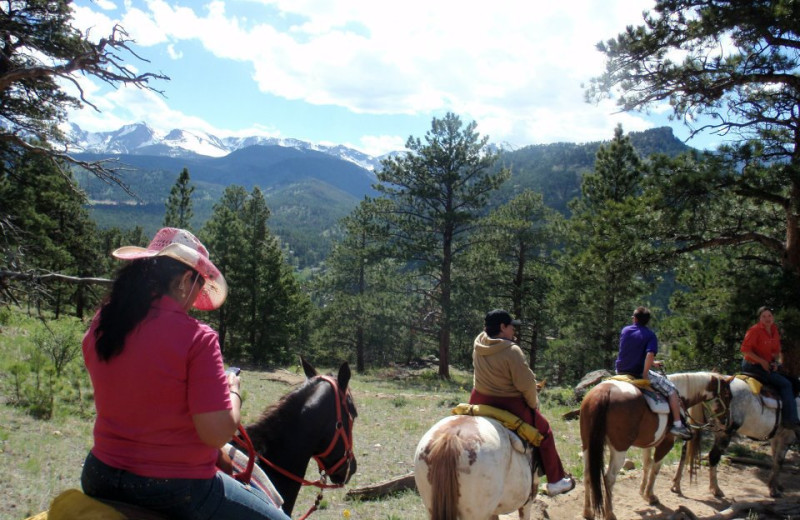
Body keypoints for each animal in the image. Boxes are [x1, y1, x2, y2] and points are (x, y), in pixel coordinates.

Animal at [580, 372, 736, 516]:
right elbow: (655, 468)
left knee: (587, 474)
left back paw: (588, 512)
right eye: (727, 395)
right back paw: (610, 514)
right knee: (609, 478)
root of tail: (603, 393)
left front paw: (642, 491)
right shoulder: (666, 443)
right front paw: (650, 496)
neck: (681, 396)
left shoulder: (648, 443)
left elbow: (647, 465)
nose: (727, 421)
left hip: (587, 445)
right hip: (619, 449)